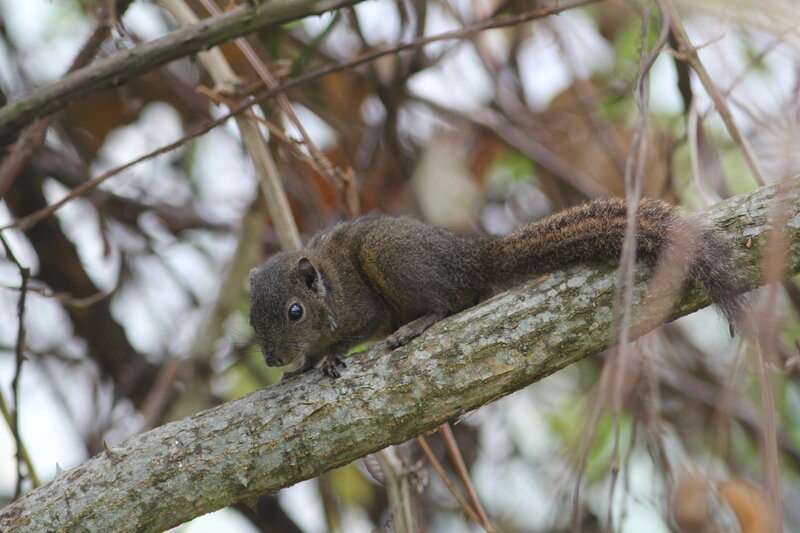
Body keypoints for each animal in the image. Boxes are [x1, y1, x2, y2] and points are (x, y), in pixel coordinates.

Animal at [248, 197, 748, 380]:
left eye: (295, 311)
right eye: (252, 318)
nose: (271, 359)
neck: (328, 289)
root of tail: (471, 258)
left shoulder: (360, 307)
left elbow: (351, 333)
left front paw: (331, 357)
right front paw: (299, 367)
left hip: (390, 257)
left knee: (452, 301)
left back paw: (416, 325)